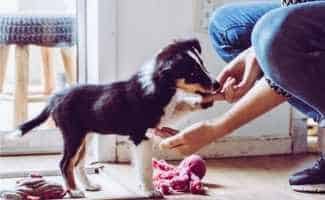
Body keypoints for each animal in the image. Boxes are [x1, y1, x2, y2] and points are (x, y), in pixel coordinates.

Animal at [6, 38, 219, 198]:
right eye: (192, 73)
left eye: (202, 65)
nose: (217, 85)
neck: (159, 85)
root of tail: (55, 97)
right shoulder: (141, 136)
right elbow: (145, 168)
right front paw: (150, 190)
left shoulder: (160, 117)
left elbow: (179, 106)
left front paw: (203, 101)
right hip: (73, 135)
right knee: (65, 163)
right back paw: (74, 191)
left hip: (86, 136)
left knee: (78, 163)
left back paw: (88, 185)